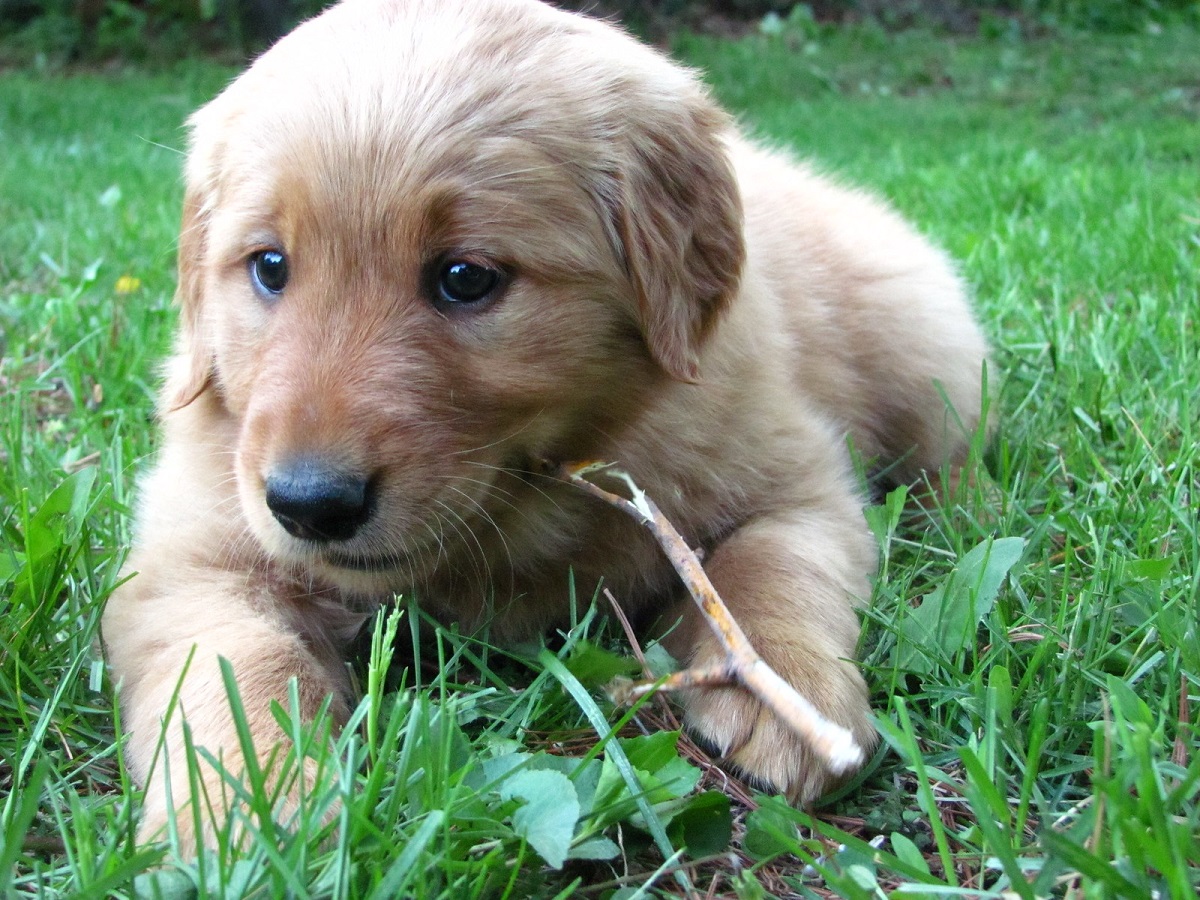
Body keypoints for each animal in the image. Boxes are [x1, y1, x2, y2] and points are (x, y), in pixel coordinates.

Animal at [103, 0, 988, 854]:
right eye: (269, 266)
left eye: (466, 277)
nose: (308, 504)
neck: (522, 500)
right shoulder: (192, 556)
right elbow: (231, 660)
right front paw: (243, 806)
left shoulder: (795, 474)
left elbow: (770, 566)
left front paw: (788, 691)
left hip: (926, 347)